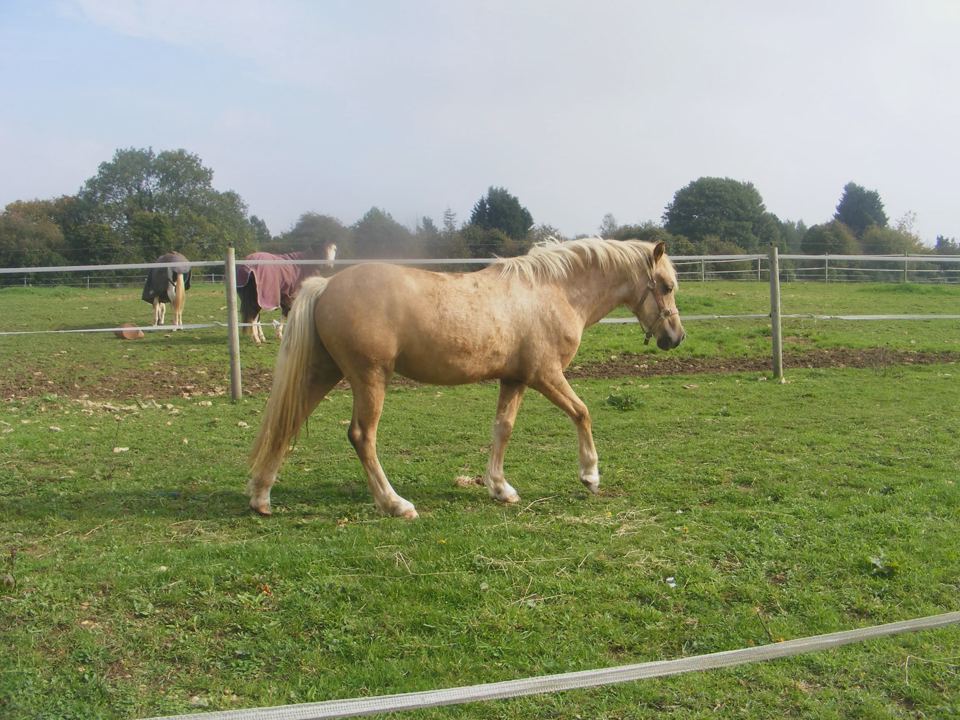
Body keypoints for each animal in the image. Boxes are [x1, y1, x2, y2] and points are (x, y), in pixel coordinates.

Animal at [248, 237, 684, 520]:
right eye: (665, 286)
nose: (675, 337)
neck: (551, 291)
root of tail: (325, 286)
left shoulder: (515, 379)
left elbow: (502, 429)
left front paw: (500, 488)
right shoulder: (546, 375)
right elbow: (582, 412)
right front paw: (590, 475)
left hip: (324, 372)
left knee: (287, 423)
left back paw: (261, 496)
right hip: (369, 378)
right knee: (361, 436)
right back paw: (395, 504)